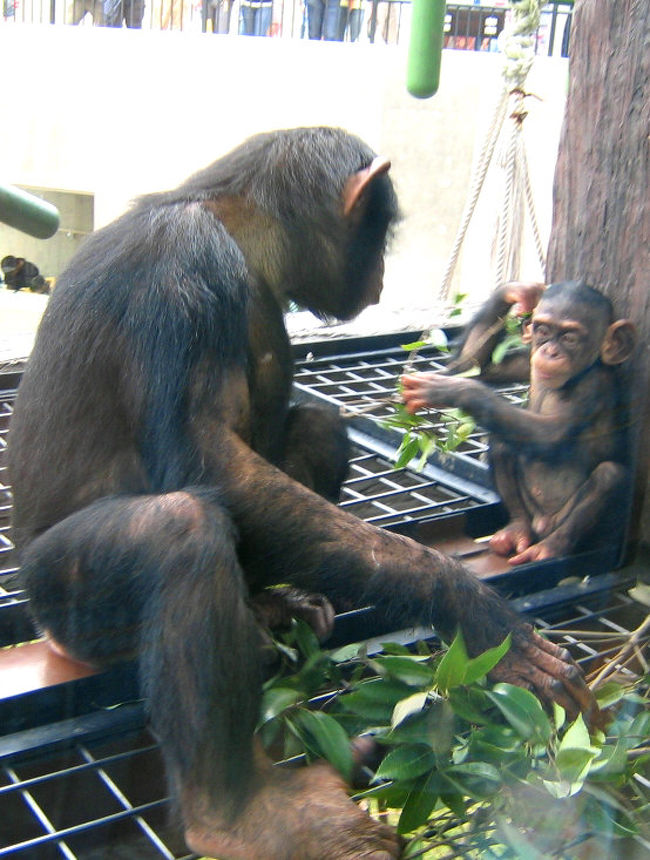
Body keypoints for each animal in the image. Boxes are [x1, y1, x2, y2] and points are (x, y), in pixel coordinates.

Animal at [10, 129, 596, 860]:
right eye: (379, 232)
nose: (380, 273)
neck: (237, 233)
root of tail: (47, 634)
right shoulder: (180, 267)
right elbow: (203, 460)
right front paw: (468, 606)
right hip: (66, 608)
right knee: (179, 532)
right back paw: (236, 816)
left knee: (319, 426)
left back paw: (273, 604)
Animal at [400, 278, 632, 568]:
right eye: (543, 330)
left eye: (569, 337)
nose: (550, 351)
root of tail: (542, 525)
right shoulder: (525, 359)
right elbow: (473, 365)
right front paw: (518, 292)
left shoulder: (593, 385)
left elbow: (550, 436)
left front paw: (455, 390)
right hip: (532, 513)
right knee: (502, 441)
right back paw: (516, 530)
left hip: (569, 524)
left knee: (609, 476)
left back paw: (550, 548)